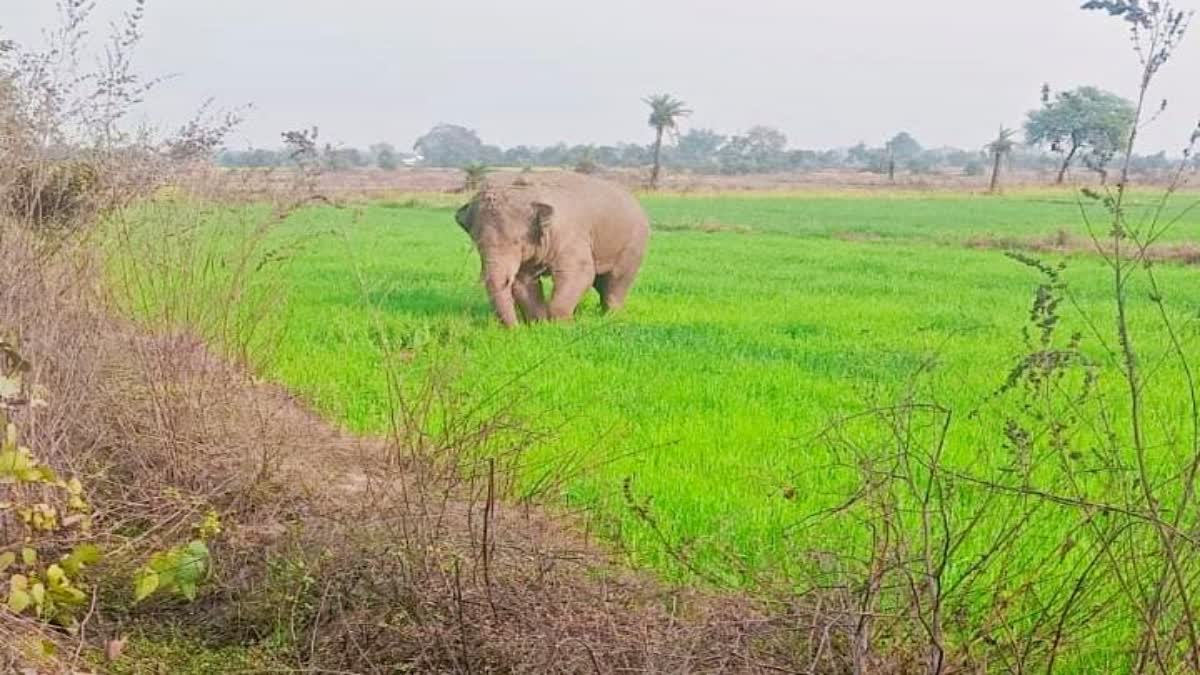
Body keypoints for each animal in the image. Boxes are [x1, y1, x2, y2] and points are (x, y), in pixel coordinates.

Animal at [454, 171, 650, 327]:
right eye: (478, 244)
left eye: (517, 242)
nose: (515, 329)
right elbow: (524, 282)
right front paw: (538, 324)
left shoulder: (570, 235)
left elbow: (580, 273)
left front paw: (561, 325)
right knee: (600, 282)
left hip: (633, 245)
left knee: (615, 281)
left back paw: (610, 317)